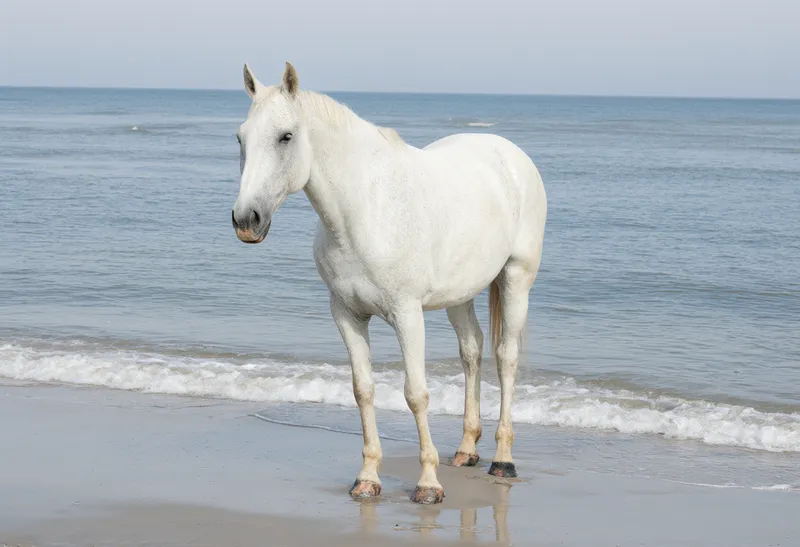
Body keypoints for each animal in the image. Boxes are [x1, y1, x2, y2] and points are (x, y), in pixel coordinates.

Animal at [231, 62, 547, 504]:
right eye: (240, 137)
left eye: (286, 136)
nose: (247, 220)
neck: (364, 211)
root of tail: (511, 154)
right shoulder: (346, 315)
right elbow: (362, 389)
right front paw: (367, 478)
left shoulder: (407, 314)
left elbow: (416, 393)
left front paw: (428, 484)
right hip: (461, 294)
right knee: (472, 351)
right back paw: (467, 449)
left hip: (517, 278)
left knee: (506, 358)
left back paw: (503, 460)